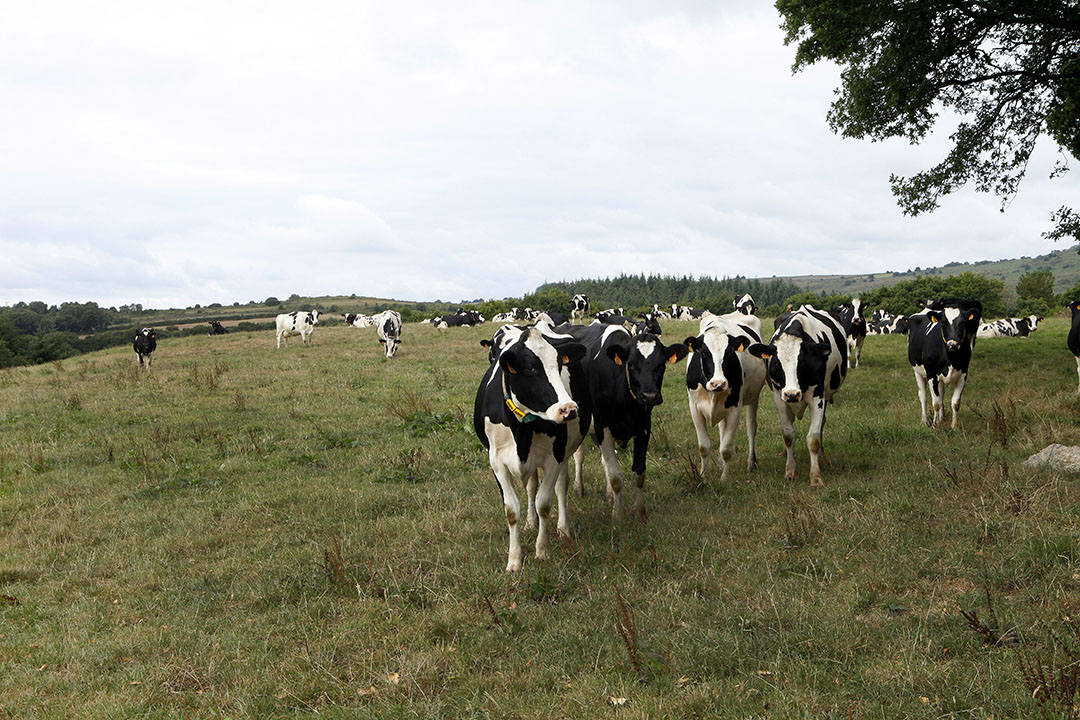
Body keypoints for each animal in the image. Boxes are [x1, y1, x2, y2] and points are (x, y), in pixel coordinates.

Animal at [473, 328, 591, 574]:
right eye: (530, 368)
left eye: (559, 364)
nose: (568, 409)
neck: (522, 430)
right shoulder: (496, 461)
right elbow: (511, 510)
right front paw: (514, 560)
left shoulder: (554, 457)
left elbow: (544, 503)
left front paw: (542, 551)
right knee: (531, 487)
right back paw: (530, 522)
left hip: (565, 451)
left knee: (560, 487)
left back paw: (563, 529)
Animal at [565, 323, 691, 520]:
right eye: (631, 365)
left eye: (661, 365)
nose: (650, 396)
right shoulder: (602, 427)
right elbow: (616, 475)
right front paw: (618, 515)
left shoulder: (643, 428)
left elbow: (638, 473)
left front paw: (640, 513)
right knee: (580, 454)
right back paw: (579, 489)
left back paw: (608, 494)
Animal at [682, 313, 768, 481]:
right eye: (704, 353)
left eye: (729, 353)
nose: (718, 384)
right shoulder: (694, 408)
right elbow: (704, 446)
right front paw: (704, 476)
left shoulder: (735, 408)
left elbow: (726, 448)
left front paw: (724, 479)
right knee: (722, 429)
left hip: (754, 397)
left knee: (751, 428)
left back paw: (751, 463)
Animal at [747, 302, 846, 487]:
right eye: (776, 363)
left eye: (803, 361)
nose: (792, 394)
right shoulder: (780, 398)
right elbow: (788, 435)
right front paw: (790, 470)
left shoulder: (818, 397)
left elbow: (813, 438)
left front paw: (816, 476)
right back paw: (787, 454)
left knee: (821, 425)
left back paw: (821, 456)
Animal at [907, 297, 984, 427]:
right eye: (943, 323)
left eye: (963, 322)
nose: (953, 344)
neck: (950, 359)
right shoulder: (932, 374)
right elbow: (936, 403)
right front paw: (934, 425)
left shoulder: (963, 374)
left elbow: (955, 403)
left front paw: (954, 426)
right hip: (917, 372)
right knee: (923, 396)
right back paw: (925, 420)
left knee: (942, 394)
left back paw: (942, 419)